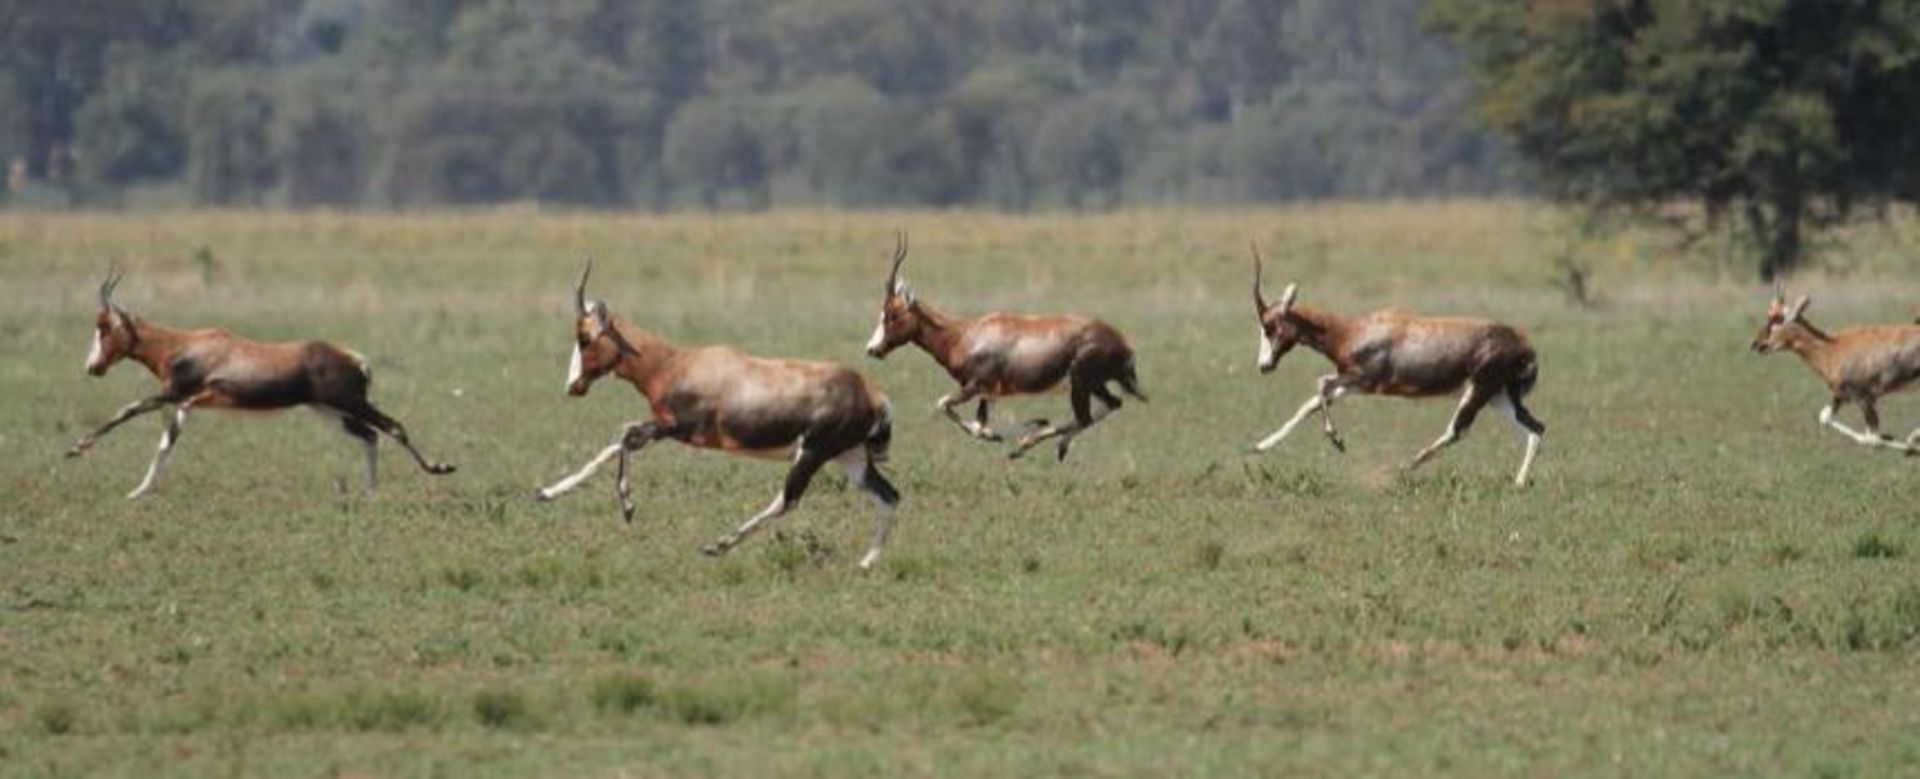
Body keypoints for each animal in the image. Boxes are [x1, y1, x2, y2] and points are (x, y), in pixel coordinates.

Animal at [66, 268, 456, 498]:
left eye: (103, 327)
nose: (92, 367)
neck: (186, 344)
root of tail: (357, 360)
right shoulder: (182, 402)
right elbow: (165, 444)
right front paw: (138, 492)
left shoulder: (178, 394)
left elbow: (128, 411)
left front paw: (77, 448)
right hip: (330, 411)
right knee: (371, 435)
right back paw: (370, 494)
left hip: (349, 403)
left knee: (394, 427)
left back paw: (439, 468)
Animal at [537, 260, 902, 571]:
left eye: (585, 338)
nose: (573, 386)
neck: (675, 364)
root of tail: (874, 395)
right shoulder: (663, 427)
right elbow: (615, 444)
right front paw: (547, 492)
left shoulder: (677, 428)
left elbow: (626, 436)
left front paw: (628, 507)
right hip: (849, 456)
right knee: (889, 497)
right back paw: (865, 564)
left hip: (812, 453)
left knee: (787, 501)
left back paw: (716, 546)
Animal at [867, 231, 1144, 462]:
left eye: (892, 314)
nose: (872, 349)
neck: (965, 333)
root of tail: (1122, 344)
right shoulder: (990, 393)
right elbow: (979, 424)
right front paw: (1001, 433)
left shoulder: (976, 386)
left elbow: (945, 405)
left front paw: (1007, 433)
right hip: (1094, 385)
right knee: (1111, 405)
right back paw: (1050, 447)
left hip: (1081, 383)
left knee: (1084, 417)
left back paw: (1028, 445)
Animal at [1244, 245, 1543, 483]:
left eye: (1269, 327)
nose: (1264, 366)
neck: (1351, 331)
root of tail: (1523, 345)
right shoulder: (1353, 384)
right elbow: (1310, 404)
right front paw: (1259, 446)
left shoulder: (1362, 378)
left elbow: (1321, 384)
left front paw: (1337, 440)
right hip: (1498, 396)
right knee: (1536, 428)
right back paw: (1518, 483)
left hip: (1479, 389)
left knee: (1457, 431)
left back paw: (1402, 468)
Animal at [1751, 285, 1920, 452]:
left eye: (1778, 319)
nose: (1757, 344)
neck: (1832, 347)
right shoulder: (1842, 397)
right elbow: (1825, 417)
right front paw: (1911, 442)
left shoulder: (1864, 399)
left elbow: (1873, 440)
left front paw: (1911, 443)